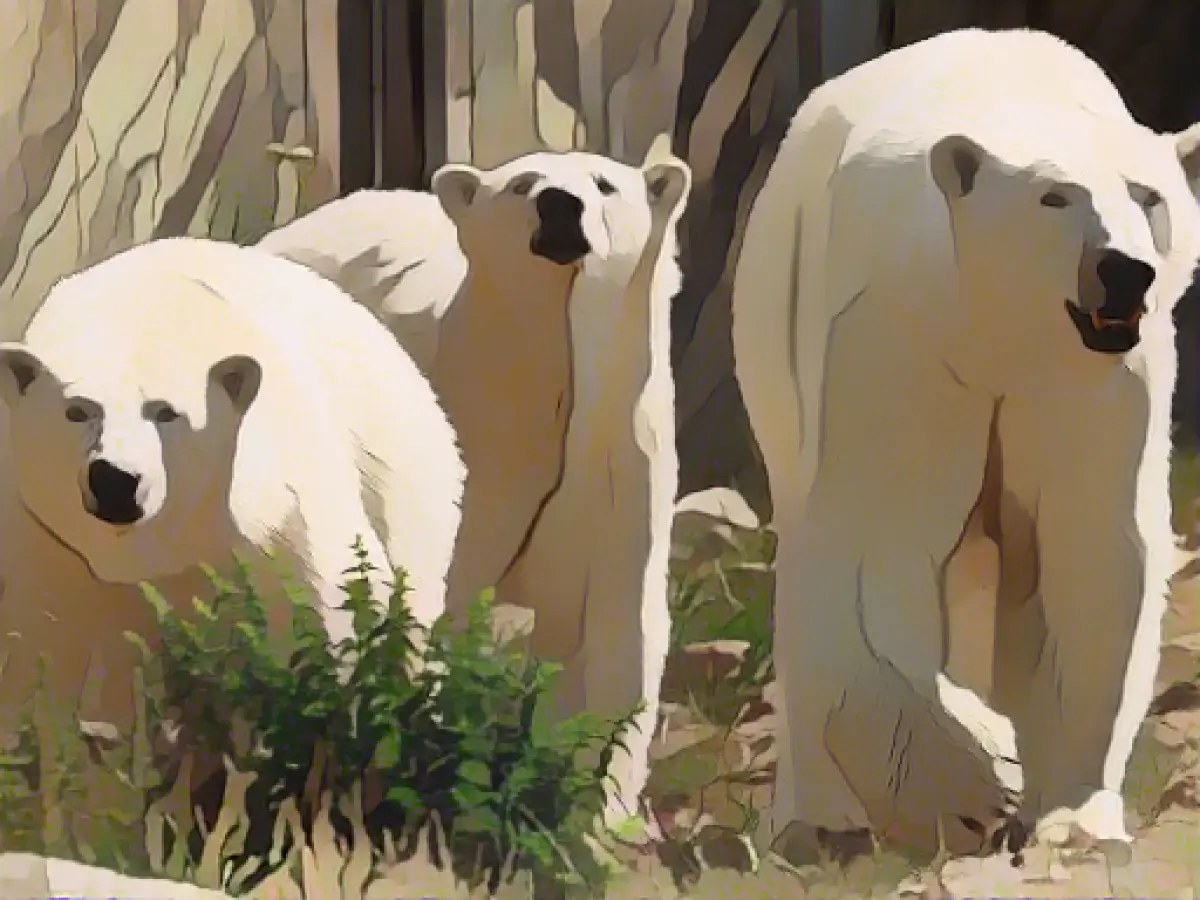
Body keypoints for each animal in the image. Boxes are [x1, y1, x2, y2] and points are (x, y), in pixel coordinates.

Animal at [258, 148, 692, 826]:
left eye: (604, 185)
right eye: (523, 184)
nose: (560, 205)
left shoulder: (623, 457)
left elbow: (620, 632)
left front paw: (601, 810)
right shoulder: (478, 446)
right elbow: (445, 597)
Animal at [730, 26, 1200, 859]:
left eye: (1149, 198)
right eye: (1055, 196)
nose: (1123, 272)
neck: (996, 331)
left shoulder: (1095, 382)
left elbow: (1090, 552)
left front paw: (1072, 816)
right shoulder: (897, 333)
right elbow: (873, 545)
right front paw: (985, 776)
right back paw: (813, 819)